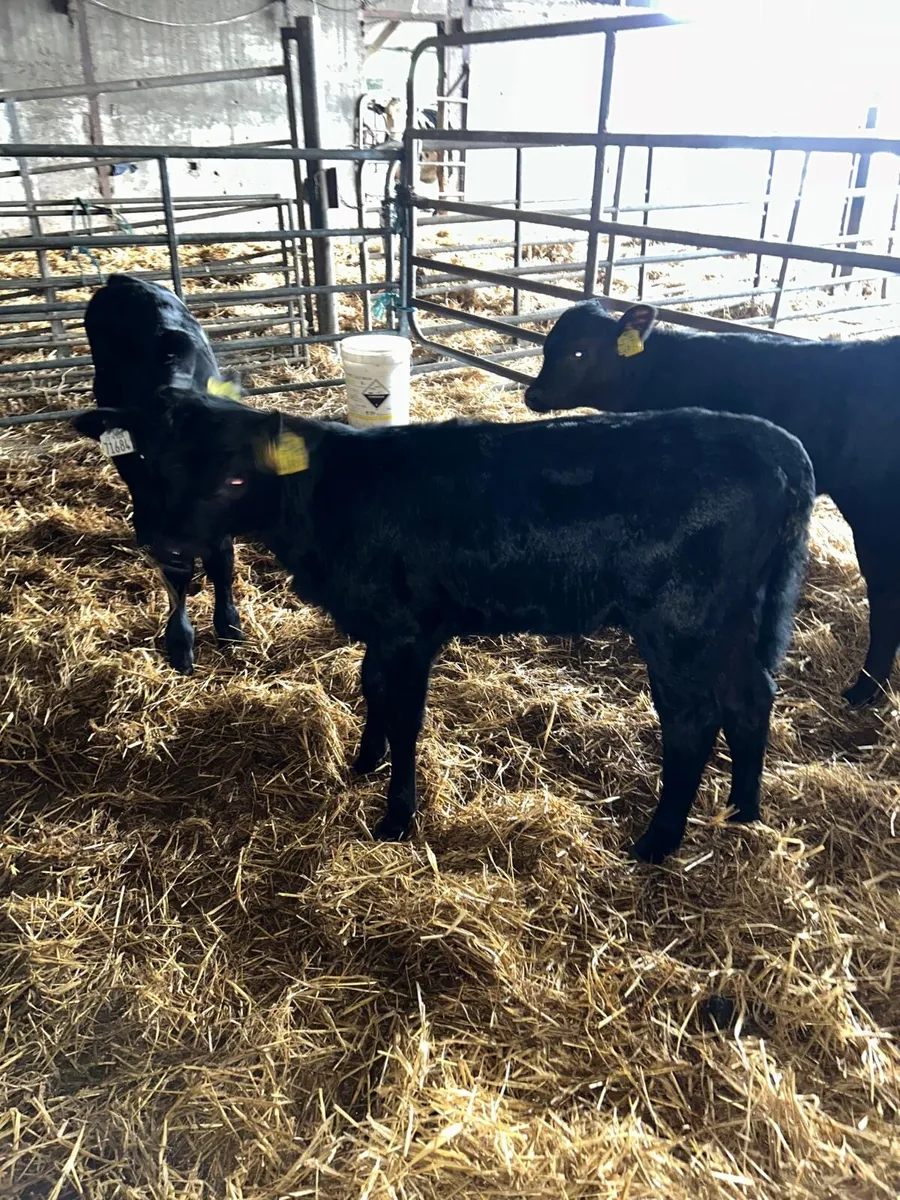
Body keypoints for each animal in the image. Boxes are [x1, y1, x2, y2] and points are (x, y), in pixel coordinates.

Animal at [73, 388, 814, 863]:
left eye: (233, 479)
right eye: (147, 462)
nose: (164, 542)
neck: (325, 503)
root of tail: (775, 442)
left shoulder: (409, 630)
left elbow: (405, 717)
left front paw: (396, 818)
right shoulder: (381, 625)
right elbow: (370, 689)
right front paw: (361, 764)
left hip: (681, 621)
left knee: (693, 720)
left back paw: (657, 844)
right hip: (735, 614)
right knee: (752, 695)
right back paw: (744, 811)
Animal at [83, 273, 243, 674]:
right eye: (153, 459)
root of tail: (122, 280)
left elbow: (221, 558)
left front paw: (229, 625)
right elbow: (177, 571)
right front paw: (180, 642)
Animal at [524, 300, 900, 707]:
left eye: (578, 352)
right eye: (547, 347)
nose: (532, 396)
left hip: (874, 511)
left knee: (885, 595)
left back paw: (865, 689)